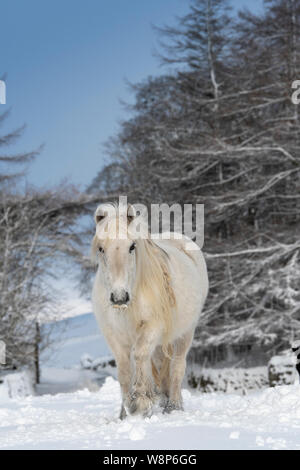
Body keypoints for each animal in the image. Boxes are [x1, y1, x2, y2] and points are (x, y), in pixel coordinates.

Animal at [91, 202, 209, 418]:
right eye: (101, 249)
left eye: (132, 246)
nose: (119, 297)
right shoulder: (113, 335)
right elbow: (124, 369)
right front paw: (125, 412)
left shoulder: (151, 327)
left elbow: (139, 356)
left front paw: (140, 401)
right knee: (161, 364)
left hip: (185, 333)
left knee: (177, 367)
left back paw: (173, 406)